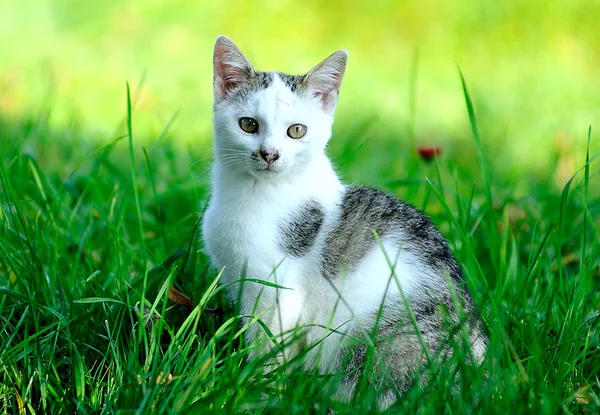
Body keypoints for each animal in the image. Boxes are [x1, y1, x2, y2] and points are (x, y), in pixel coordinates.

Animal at [202, 36, 488, 410]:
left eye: (296, 131)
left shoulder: (278, 289)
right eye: (248, 124)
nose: (269, 154)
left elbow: (269, 346)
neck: (254, 192)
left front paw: (255, 393)